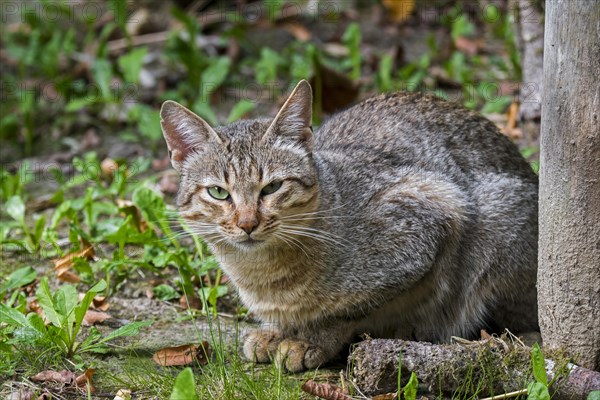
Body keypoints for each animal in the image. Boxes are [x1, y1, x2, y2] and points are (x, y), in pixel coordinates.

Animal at [159, 80, 540, 372]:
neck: (264, 277)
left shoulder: (433, 213)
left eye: (272, 187)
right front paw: (275, 330)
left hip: (498, 222)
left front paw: (310, 340)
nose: (247, 222)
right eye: (218, 192)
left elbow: (349, 310)